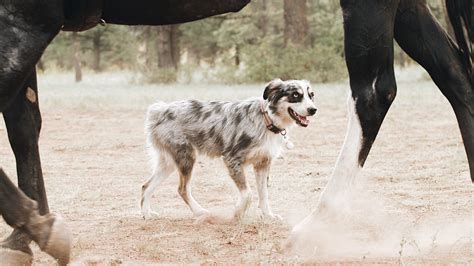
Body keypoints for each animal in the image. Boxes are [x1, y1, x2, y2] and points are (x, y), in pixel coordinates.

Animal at [141, 79, 318, 220]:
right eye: (295, 95)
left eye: (311, 95)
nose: (313, 110)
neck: (266, 119)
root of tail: (160, 110)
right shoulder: (232, 159)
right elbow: (248, 194)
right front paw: (238, 213)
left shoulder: (262, 164)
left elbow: (263, 194)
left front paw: (268, 215)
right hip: (186, 158)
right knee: (182, 189)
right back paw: (199, 212)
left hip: (169, 163)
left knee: (146, 186)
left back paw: (146, 213)